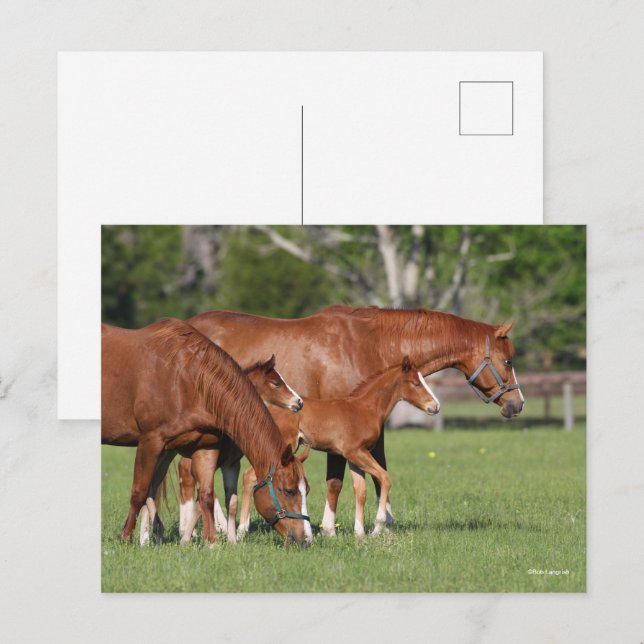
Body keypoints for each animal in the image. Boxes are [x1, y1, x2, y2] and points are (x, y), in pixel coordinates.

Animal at [101, 319, 312, 545]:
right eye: (289, 491)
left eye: (307, 490)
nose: (306, 539)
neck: (187, 378)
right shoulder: (150, 441)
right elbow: (139, 492)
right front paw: (126, 538)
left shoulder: (209, 447)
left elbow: (209, 495)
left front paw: (214, 541)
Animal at [237, 357, 440, 538]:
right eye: (416, 384)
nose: (435, 406)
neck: (366, 408)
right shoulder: (356, 452)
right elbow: (384, 478)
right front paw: (377, 527)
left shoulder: (354, 457)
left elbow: (360, 490)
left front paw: (360, 534)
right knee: (249, 475)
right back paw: (241, 529)